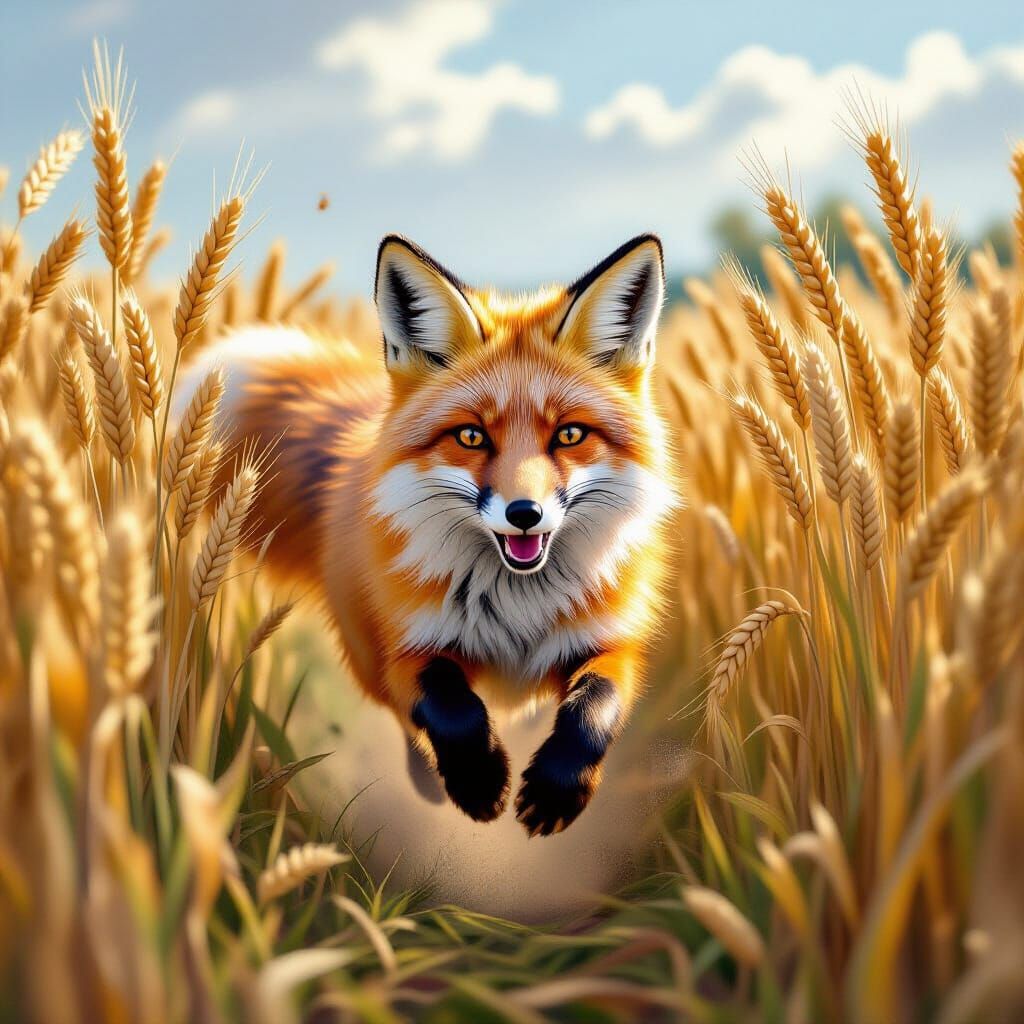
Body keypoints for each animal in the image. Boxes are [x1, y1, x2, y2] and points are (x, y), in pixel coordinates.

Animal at [189, 232, 676, 835]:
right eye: (471, 436)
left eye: (569, 435)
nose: (524, 513)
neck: (520, 606)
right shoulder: (406, 648)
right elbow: (451, 709)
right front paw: (478, 781)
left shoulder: (614, 641)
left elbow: (595, 707)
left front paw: (557, 790)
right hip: (366, 655)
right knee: (405, 724)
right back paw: (429, 782)